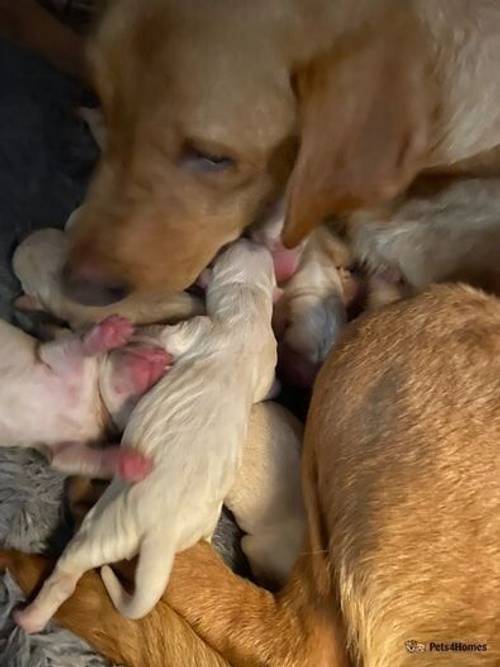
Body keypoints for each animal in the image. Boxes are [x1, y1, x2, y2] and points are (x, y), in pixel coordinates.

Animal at [0, 316, 169, 482]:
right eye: (136, 343)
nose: (165, 358)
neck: (95, 402)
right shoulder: (51, 354)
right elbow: (70, 347)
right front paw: (112, 331)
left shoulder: (60, 446)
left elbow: (80, 459)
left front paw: (132, 464)